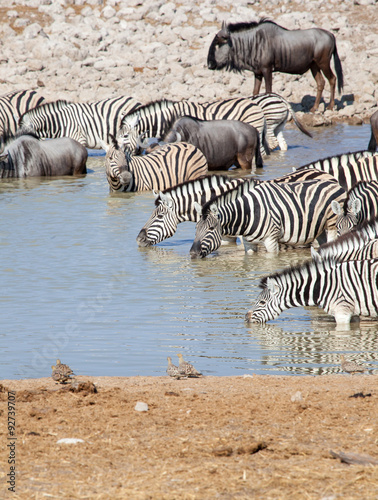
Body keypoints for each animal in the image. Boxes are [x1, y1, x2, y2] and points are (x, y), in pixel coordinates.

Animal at [189, 177, 346, 258]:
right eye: (195, 228)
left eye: (210, 228)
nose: (192, 253)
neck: (247, 214)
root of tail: (335, 183)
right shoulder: (249, 244)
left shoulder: (271, 241)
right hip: (319, 229)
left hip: (332, 224)